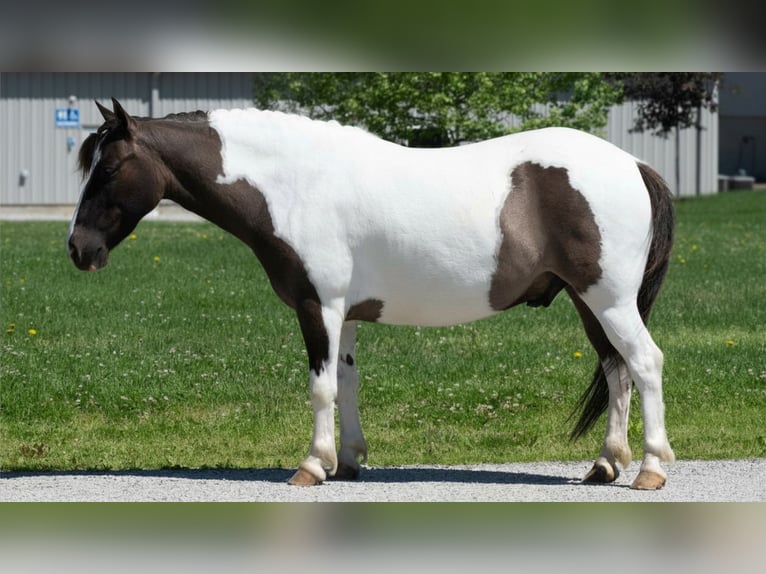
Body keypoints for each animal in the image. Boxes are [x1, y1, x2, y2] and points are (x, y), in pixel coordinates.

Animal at [68, 98, 675, 489]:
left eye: (112, 167)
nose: (79, 248)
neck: (296, 184)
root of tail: (632, 162)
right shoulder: (346, 315)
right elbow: (346, 383)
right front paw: (349, 461)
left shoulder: (318, 307)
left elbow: (319, 389)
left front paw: (312, 466)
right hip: (589, 301)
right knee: (616, 369)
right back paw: (605, 465)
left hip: (608, 300)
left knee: (644, 363)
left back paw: (650, 469)